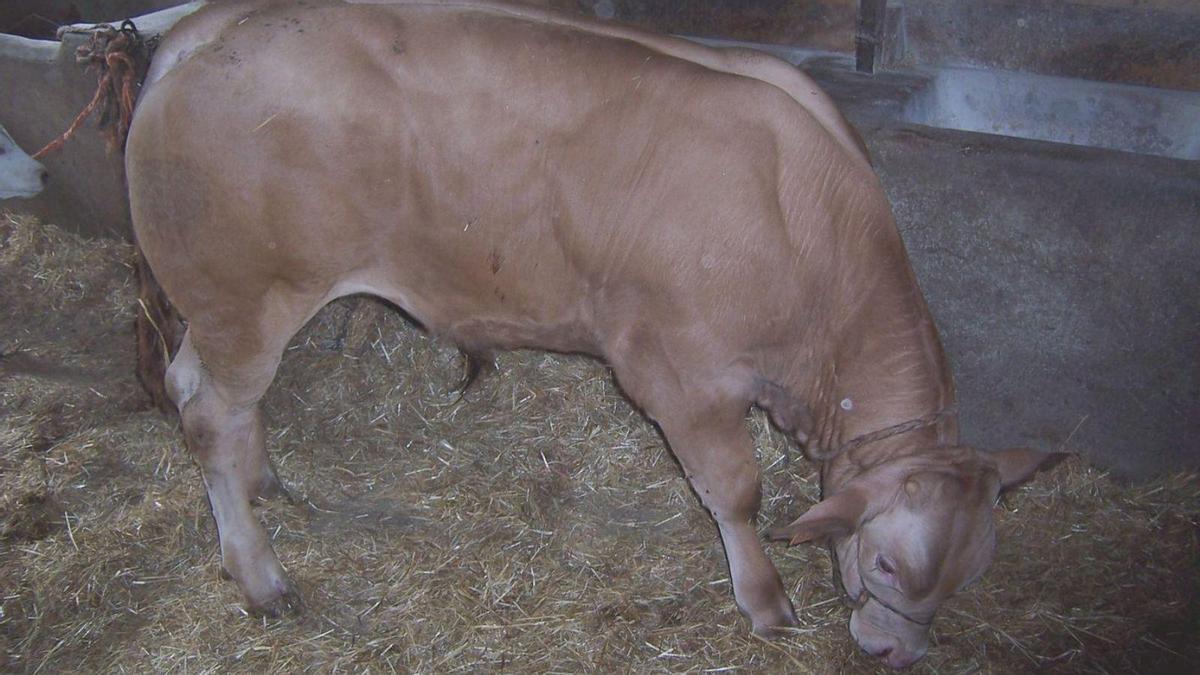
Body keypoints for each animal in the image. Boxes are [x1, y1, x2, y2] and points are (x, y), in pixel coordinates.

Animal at [126, 0, 1056, 662]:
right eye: (891, 564)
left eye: (974, 568)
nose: (897, 653)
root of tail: (207, 31)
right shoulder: (679, 373)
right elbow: (737, 489)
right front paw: (764, 601)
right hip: (249, 295)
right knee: (209, 416)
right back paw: (262, 578)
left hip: (223, 307)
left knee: (195, 388)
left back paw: (263, 480)